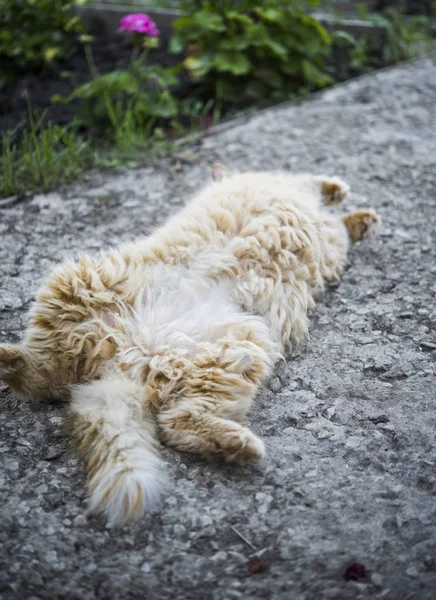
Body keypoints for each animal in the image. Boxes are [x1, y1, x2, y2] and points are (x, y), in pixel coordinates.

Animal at [0, 165, 378, 524]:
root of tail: (120, 359)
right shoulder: (291, 188)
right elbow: (317, 185)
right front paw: (344, 195)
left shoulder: (326, 233)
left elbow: (339, 222)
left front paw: (359, 217)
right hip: (81, 282)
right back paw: (244, 446)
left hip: (231, 351)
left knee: (60, 384)